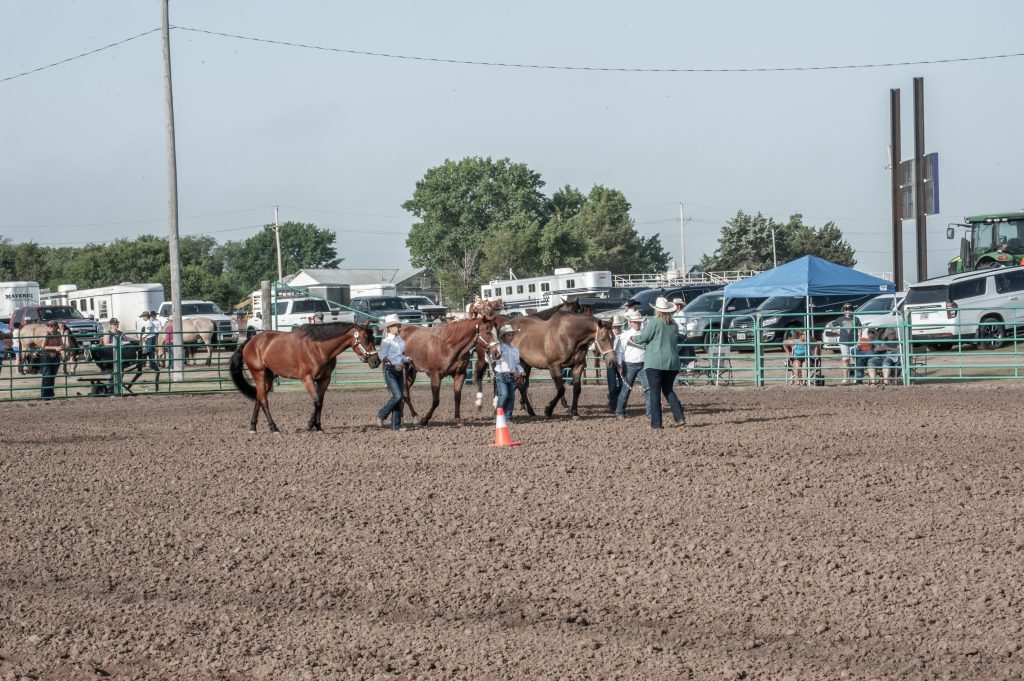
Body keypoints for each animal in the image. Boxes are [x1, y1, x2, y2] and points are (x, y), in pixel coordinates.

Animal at [229, 321, 381, 433]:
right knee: (264, 401)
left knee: (259, 398)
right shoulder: (307, 379)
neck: (318, 348)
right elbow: (317, 402)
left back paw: (253, 427)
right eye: (365, 339)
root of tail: (251, 341)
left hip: (268, 377)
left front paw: (318, 427)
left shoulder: (324, 379)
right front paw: (309, 425)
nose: (376, 361)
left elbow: (321, 402)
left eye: (373, 338)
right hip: (259, 374)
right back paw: (274, 428)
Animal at [474, 311, 616, 418]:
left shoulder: (578, 366)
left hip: (525, 365)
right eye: (602, 339)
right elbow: (561, 389)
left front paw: (574, 412)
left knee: (521, 385)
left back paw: (527, 410)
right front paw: (548, 410)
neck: (569, 335)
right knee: (511, 384)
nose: (612, 362)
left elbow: (577, 389)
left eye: (614, 337)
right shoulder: (554, 367)